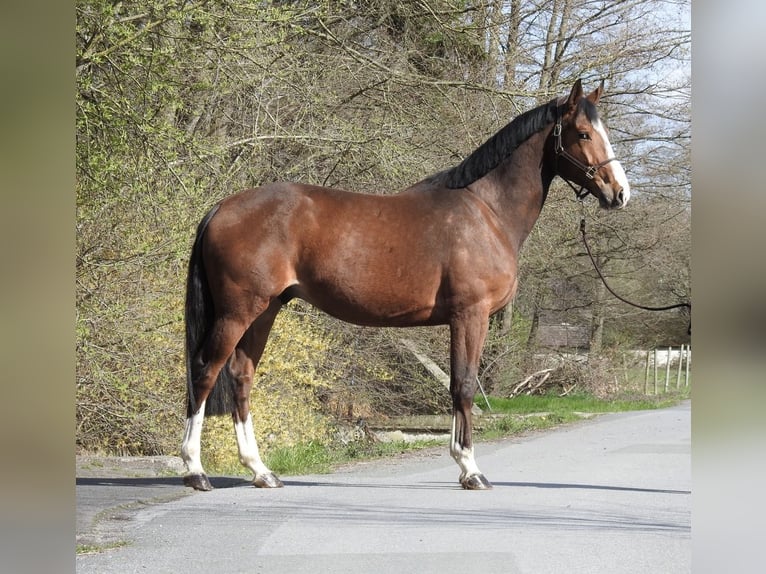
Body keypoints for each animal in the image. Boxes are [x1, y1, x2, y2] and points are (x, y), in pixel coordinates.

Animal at [180, 79, 630, 491]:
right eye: (583, 133)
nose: (620, 193)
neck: (486, 211)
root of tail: (223, 207)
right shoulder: (471, 315)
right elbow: (464, 384)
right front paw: (470, 469)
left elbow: (458, 384)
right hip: (239, 311)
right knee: (205, 371)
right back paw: (196, 471)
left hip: (266, 309)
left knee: (241, 376)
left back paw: (261, 471)